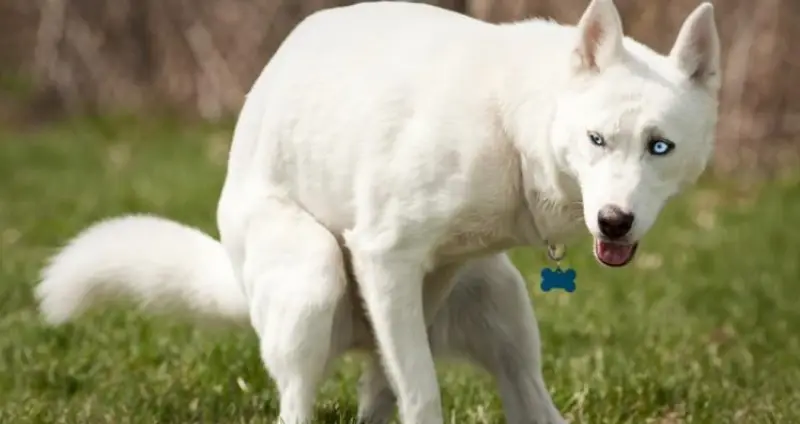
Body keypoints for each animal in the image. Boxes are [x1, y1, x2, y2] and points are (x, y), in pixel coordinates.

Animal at [32, 0, 720, 422]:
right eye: (597, 140)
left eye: (660, 147)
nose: (614, 222)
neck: (511, 122)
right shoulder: (383, 257)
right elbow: (423, 395)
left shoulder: (423, 279)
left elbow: (401, 385)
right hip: (313, 278)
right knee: (297, 403)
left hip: (500, 305)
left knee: (517, 400)